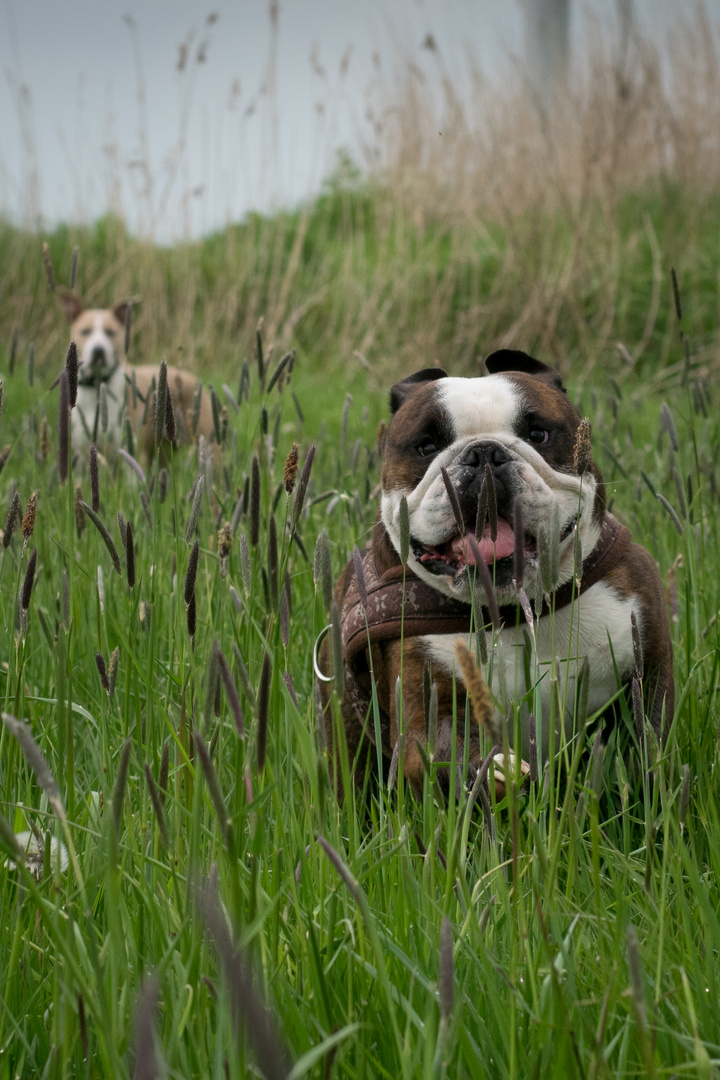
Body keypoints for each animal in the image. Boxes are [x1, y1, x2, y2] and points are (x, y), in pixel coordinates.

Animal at [56, 289, 213, 457]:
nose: (98, 350)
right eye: (85, 331)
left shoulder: (132, 451)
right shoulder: (82, 454)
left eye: (110, 332)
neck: (98, 387)